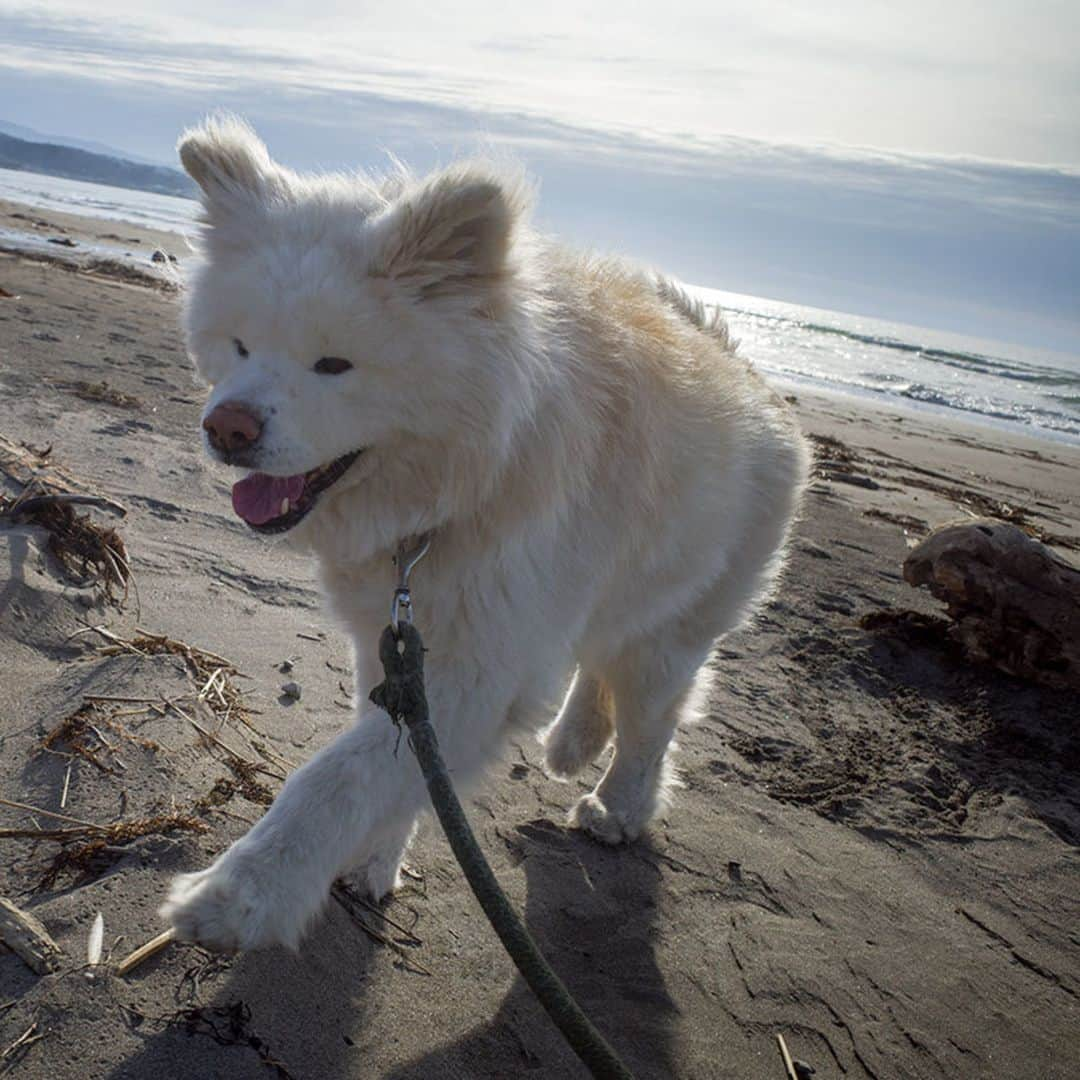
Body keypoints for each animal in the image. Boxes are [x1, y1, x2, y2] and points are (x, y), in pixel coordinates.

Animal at [162, 113, 812, 950]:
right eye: (240, 345)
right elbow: (393, 761)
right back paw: (574, 742)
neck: (454, 489)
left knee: (652, 722)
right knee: (598, 665)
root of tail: (749, 378)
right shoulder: (394, 641)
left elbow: (340, 777)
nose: (228, 427)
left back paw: (618, 808)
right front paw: (375, 861)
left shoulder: (479, 664)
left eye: (334, 364)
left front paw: (239, 896)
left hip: (673, 628)